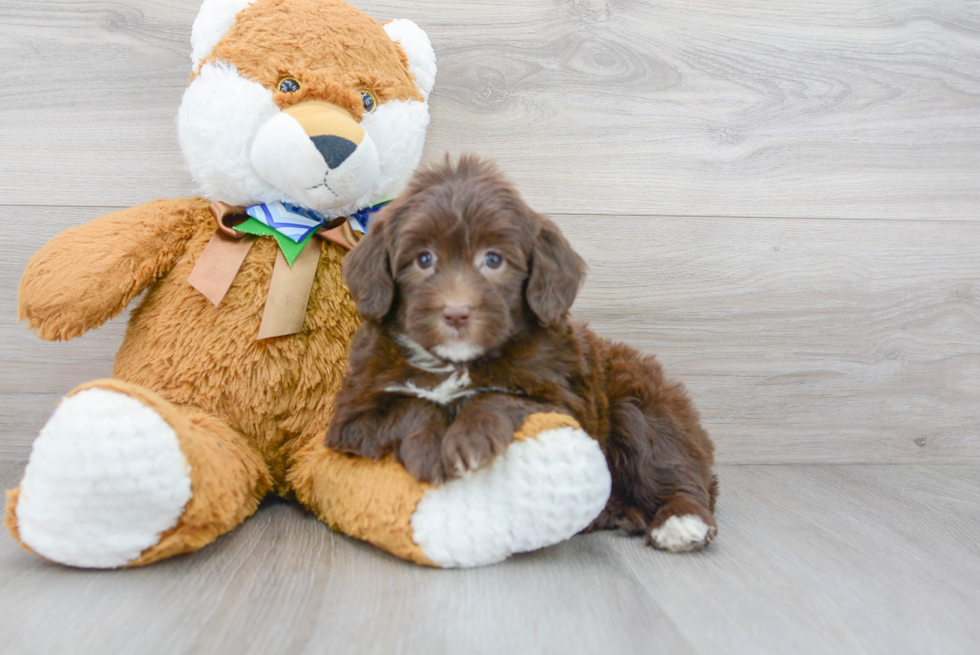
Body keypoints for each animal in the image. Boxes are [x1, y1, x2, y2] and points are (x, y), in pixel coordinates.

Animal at [330, 156, 720, 552]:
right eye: (423, 259)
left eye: (493, 260)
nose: (456, 313)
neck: (457, 363)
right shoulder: (351, 416)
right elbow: (410, 406)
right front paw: (428, 448)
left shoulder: (565, 403)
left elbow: (501, 397)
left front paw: (469, 438)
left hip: (642, 407)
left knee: (675, 471)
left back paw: (682, 521)